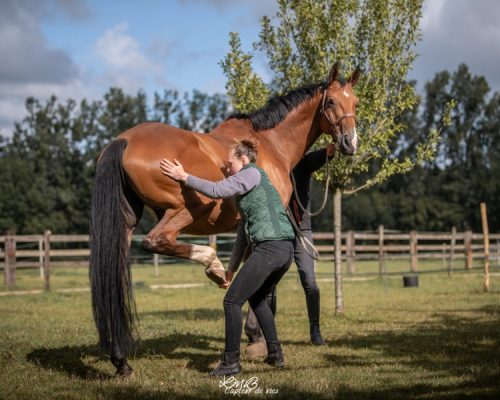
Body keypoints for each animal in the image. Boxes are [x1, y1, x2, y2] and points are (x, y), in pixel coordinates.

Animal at [90, 62, 360, 376]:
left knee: (116, 281)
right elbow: (262, 286)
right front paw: (256, 338)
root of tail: (124, 140)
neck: (270, 143)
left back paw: (121, 361)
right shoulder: (260, 226)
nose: (350, 142)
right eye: (330, 102)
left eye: (355, 102)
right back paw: (212, 264)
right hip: (187, 209)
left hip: (124, 227)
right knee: (157, 241)